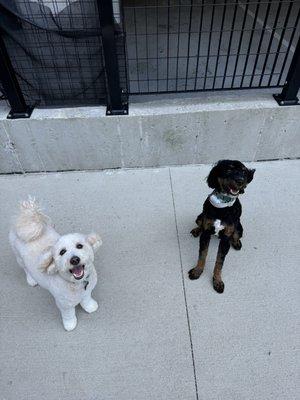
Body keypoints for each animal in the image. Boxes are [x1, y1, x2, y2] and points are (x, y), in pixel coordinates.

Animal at [9, 198, 102, 332]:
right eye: (62, 252)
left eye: (79, 246)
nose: (74, 260)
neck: (78, 284)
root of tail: (26, 217)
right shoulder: (64, 304)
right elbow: (69, 314)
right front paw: (70, 325)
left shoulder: (87, 291)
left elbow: (87, 299)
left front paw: (90, 306)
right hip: (19, 257)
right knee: (25, 269)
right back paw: (31, 280)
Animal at [189, 159, 254, 294]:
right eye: (228, 169)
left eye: (244, 171)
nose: (241, 181)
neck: (223, 207)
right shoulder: (206, 233)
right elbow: (202, 255)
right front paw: (197, 271)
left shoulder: (225, 239)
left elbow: (219, 262)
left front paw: (217, 281)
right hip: (200, 216)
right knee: (200, 224)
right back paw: (196, 230)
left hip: (239, 226)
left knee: (236, 234)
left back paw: (236, 242)